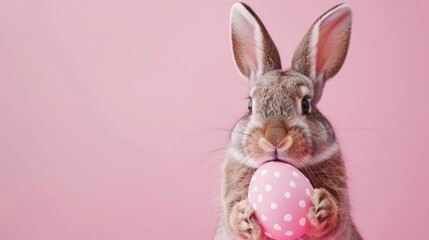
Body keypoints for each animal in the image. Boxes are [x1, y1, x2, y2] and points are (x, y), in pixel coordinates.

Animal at [214, 1, 362, 240]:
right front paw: (243, 216)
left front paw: (322, 205)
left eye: (306, 104)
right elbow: (233, 215)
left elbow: (335, 216)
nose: (275, 139)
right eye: (250, 105)